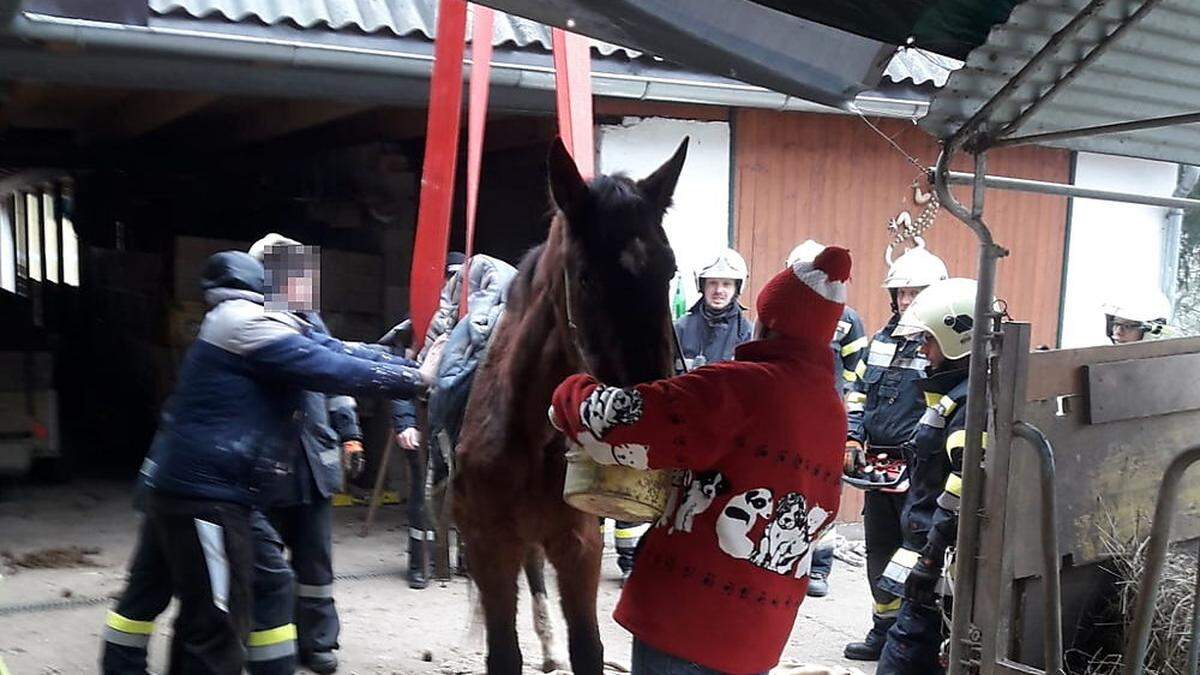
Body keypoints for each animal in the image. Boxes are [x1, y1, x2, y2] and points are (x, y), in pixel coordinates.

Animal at [453, 136, 691, 672]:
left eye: (669, 272)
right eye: (586, 278)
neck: (530, 437)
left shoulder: (579, 546)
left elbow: (589, 648)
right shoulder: (489, 546)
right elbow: (503, 653)